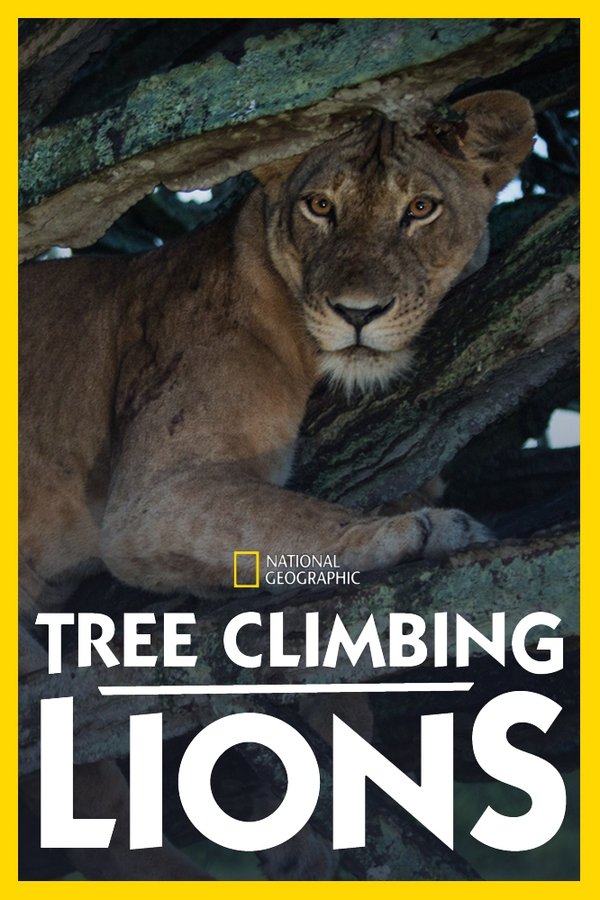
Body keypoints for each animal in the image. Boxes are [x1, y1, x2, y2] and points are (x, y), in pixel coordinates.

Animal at [19, 90, 535, 879]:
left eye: (420, 208)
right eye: (320, 206)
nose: (359, 313)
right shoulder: (154, 498)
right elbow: (293, 518)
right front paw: (419, 532)